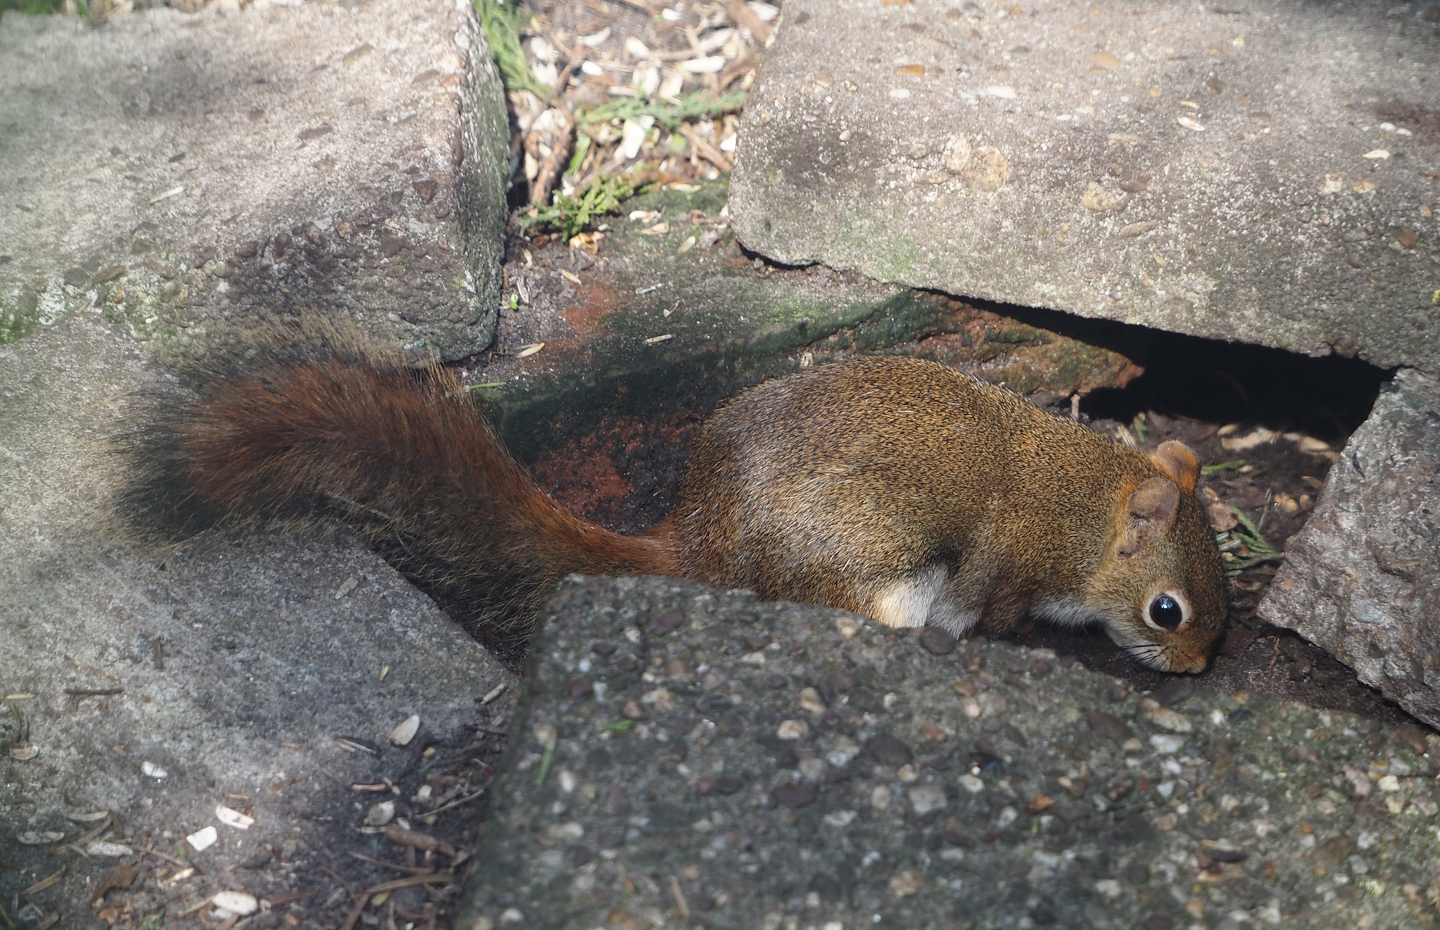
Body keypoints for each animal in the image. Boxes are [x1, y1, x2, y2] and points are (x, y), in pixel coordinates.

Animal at [124, 318, 1228, 673]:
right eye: (1166, 611)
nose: (1194, 671)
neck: (1082, 506)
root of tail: (701, 543)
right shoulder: (1004, 564)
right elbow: (987, 613)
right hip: (870, 572)